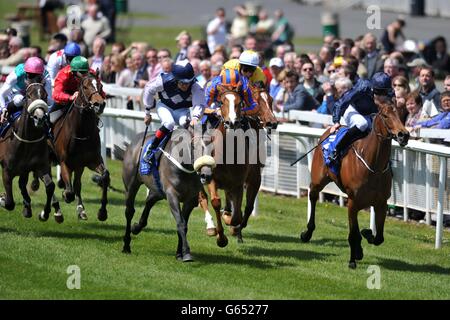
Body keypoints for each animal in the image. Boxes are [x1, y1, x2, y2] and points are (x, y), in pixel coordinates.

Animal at [0, 81, 60, 220]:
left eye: (45, 95)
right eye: (28, 96)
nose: (39, 117)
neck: (27, 141)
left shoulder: (40, 166)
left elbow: (50, 186)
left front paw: (44, 213)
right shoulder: (6, 171)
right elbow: (9, 203)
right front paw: (2, 198)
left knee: (22, 184)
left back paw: (27, 207)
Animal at [50, 73, 109, 221]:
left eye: (101, 86)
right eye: (85, 86)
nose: (99, 104)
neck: (81, 132)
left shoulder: (91, 161)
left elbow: (105, 175)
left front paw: (102, 212)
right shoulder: (64, 162)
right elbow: (69, 191)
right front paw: (65, 195)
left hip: (79, 166)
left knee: (76, 184)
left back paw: (80, 209)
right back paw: (57, 210)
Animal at [121, 126, 216, 262]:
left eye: (213, 150)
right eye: (196, 147)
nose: (206, 175)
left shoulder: (190, 200)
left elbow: (184, 225)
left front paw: (179, 253)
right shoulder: (172, 195)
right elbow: (181, 223)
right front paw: (186, 253)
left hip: (158, 190)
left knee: (149, 201)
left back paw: (137, 227)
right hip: (131, 185)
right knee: (129, 211)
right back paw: (126, 245)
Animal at [300, 97, 410, 268]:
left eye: (401, 114)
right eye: (385, 116)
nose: (403, 135)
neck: (374, 166)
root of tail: (329, 131)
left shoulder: (381, 203)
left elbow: (378, 238)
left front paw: (366, 234)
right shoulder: (352, 202)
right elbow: (353, 234)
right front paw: (352, 260)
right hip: (319, 180)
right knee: (312, 195)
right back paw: (307, 233)